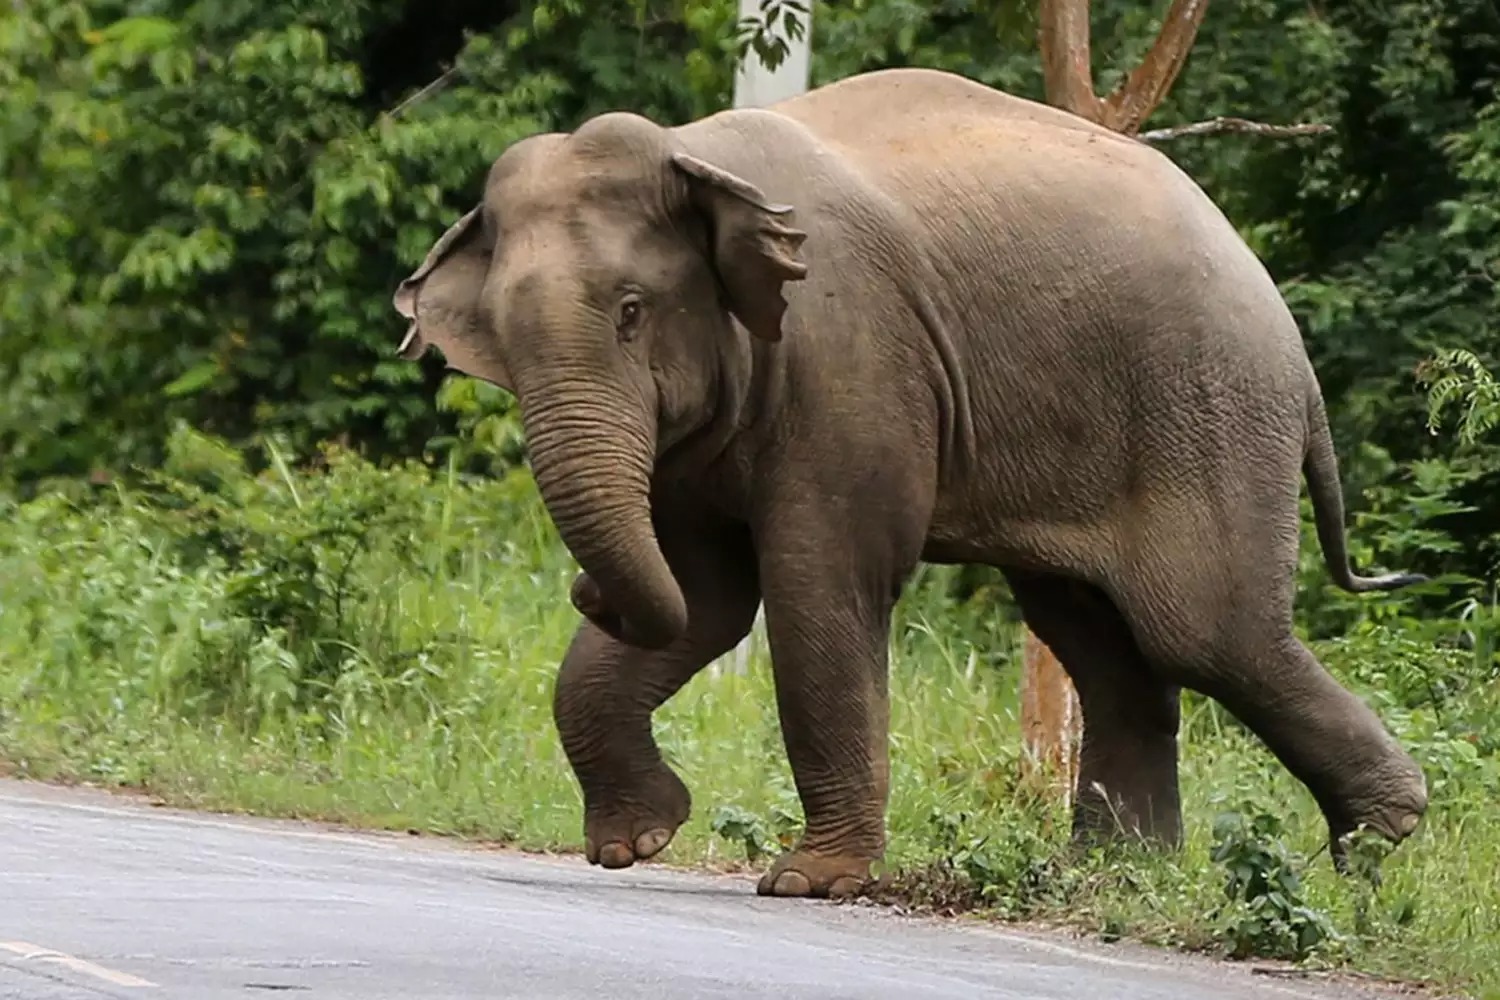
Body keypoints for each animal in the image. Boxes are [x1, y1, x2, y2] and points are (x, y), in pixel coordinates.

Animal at [396, 68, 1428, 899]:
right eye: (497, 335)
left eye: (630, 312)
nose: (583, 590)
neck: (699, 157)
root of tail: (1292, 342)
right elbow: (706, 597)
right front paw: (636, 842)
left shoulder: (851, 358)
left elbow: (818, 582)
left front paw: (810, 883)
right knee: (1099, 640)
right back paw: (1114, 877)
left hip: (1207, 412)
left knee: (1201, 631)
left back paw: (1381, 844)